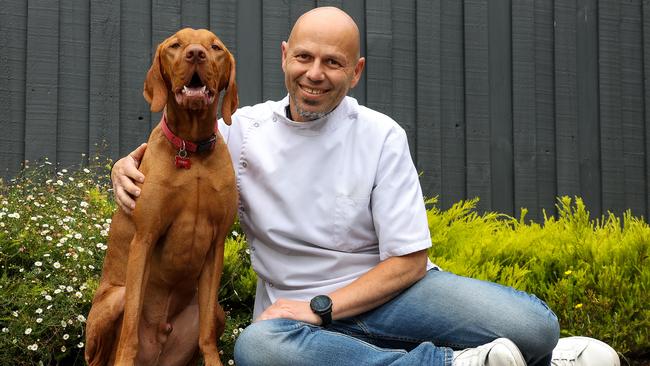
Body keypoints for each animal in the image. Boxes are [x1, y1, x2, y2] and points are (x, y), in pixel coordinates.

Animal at [84, 28, 238, 366]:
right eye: (175, 45)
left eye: (216, 47)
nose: (196, 53)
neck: (192, 149)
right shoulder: (145, 237)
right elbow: (130, 330)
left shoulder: (216, 245)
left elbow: (207, 335)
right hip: (114, 301)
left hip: (217, 313)